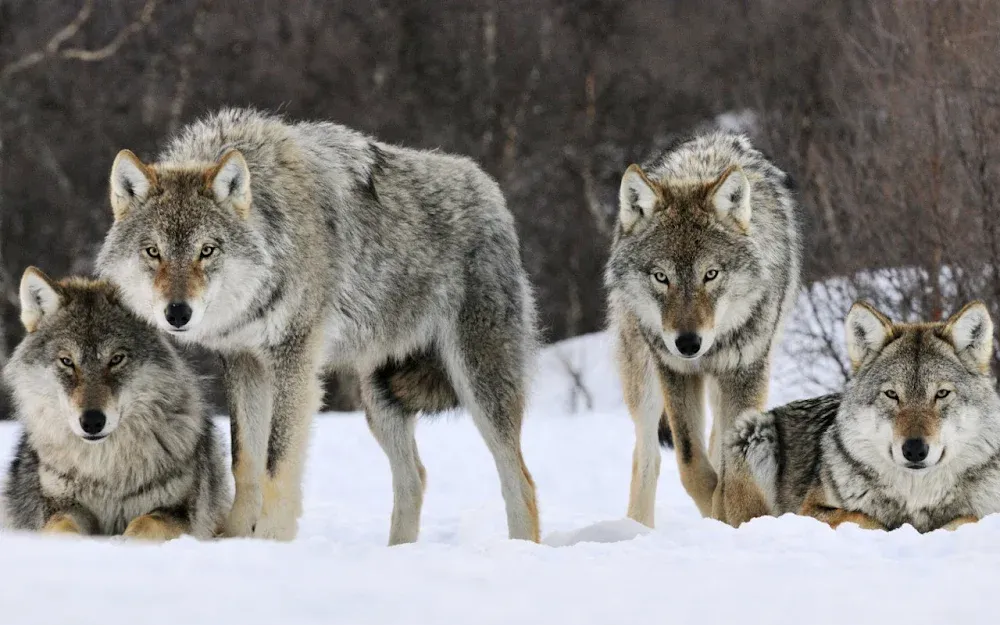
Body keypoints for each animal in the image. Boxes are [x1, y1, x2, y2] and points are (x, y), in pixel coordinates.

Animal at [1, 268, 230, 540]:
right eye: (67, 361)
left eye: (116, 359)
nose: (92, 421)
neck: (105, 471)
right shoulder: (61, 507)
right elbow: (61, 528)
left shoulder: (177, 513)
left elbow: (144, 525)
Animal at [96, 107, 540, 543]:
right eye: (153, 251)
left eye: (207, 251)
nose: (177, 313)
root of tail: (491, 190)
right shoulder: (244, 362)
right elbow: (245, 461)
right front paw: (235, 538)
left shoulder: (294, 360)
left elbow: (277, 463)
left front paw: (270, 541)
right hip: (379, 399)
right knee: (415, 477)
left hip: (478, 384)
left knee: (520, 480)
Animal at [605, 132, 800, 527]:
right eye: (661, 277)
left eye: (711, 274)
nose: (688, 343)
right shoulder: (675, 371)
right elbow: (691, 462)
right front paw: (716, 510)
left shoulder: (746, 370)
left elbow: (731, 465)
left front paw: (732, 515)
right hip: (643, 379)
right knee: (647, 455)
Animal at [730, 301, 1000, 532]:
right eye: (892, 394)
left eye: (942, 394)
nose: (914, 450)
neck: (916, 497)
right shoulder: (809, 510)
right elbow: (865, 518)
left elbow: (968, 517)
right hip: (752, 431)